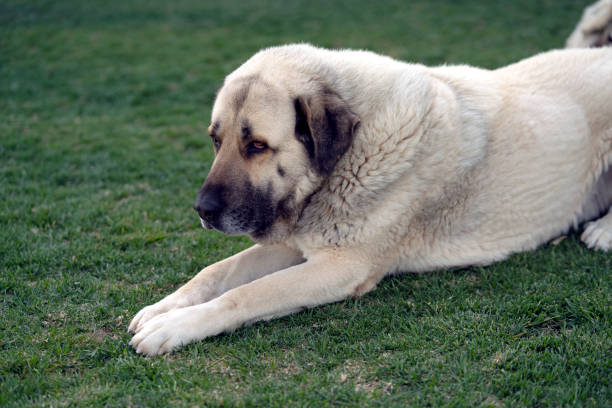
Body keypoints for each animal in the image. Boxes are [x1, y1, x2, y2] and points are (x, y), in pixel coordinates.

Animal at [126, 43, 608, 356]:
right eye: (215, 140)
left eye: (257, 146)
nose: (202, 211)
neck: (350, 153)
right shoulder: (296, 244)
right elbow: (216, 273)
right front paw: (163, 308)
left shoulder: (342, 265)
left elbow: (245, 295)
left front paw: (175, 326)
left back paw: (602, 230)